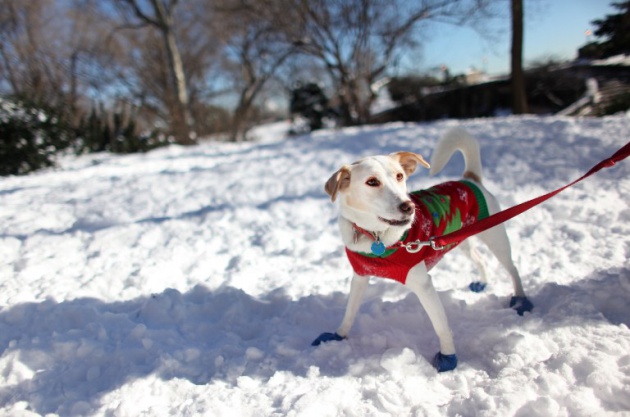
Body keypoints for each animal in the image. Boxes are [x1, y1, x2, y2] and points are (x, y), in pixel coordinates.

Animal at [314, 127, 532, 370]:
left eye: (399, 176)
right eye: (372, 182)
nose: (408, 207)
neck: (376, 236)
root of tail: (469, 180)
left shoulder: (423, 285)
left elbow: (441, 325)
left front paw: (447, 357)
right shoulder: (360, 276)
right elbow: (350, 312)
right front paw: (338, 335)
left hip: (496, 237)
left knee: (512, 268)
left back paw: (520, 300)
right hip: (460, 240)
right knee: (480, 259)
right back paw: (482, 283)